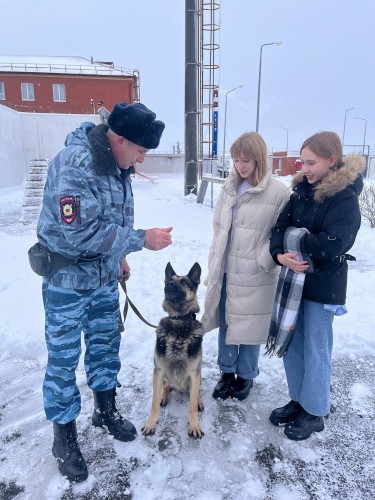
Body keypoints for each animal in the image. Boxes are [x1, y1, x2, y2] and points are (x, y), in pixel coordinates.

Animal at [142, 262, 206, 438]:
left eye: (184, 282)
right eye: (168, 280)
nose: (168, 285)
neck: (179, 321)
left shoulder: (194, 372)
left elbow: (191, 405)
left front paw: (194, 425)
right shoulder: (158, 370)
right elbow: (154, 403)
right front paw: (151, 423)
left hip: (198, 375)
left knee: (197, 391)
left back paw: (199, 400)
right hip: (163, 375)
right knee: (166, 385)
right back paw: (164, 395)